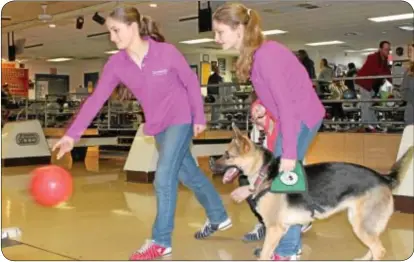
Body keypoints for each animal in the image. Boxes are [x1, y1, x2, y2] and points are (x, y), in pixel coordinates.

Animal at [212, 125, 412, 260]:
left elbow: (264, 255)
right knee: (373, 248)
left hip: (361, 225)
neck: (264, 172)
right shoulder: (281, 229)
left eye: (227, 155)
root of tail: (383, 177)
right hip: (359, 222)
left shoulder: (275, 229)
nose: (212, 164)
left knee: (379, 250)